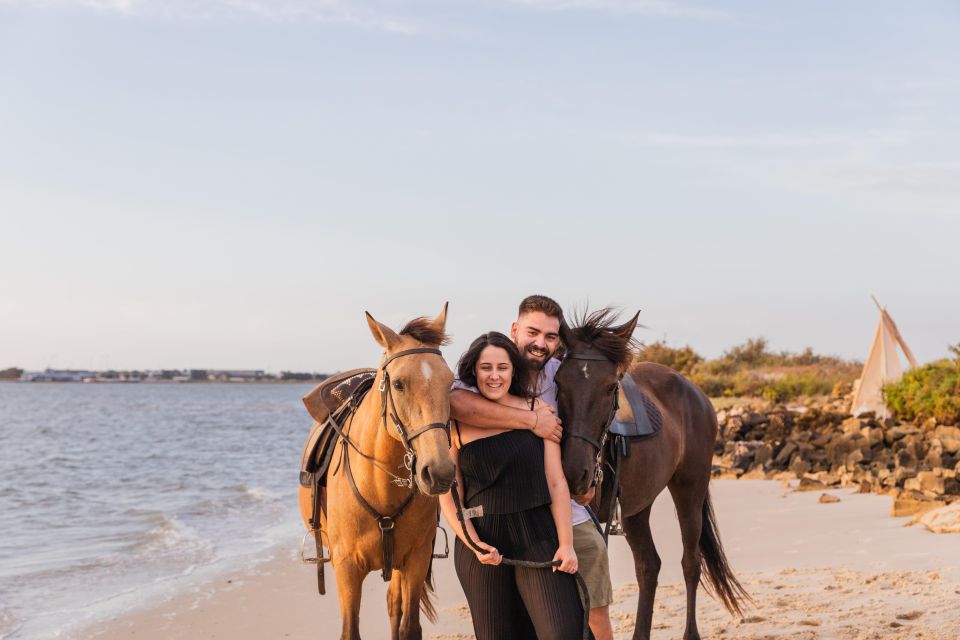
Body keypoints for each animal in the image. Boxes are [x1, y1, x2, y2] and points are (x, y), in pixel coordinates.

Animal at [300, 306, 458, 640]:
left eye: (450, 382)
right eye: (398, 384)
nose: (439, 473)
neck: (381, 487)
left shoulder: (415, 560)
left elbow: (408, 626)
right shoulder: (347, 569)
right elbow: (351, 630)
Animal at [556, 308, 752, 640]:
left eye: (610, 386)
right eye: (558, 382)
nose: (574, 473)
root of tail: (696, 393)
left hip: (689, 491)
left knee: (690, 562)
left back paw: (690, 633)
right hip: (637, 507)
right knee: (649, 566)